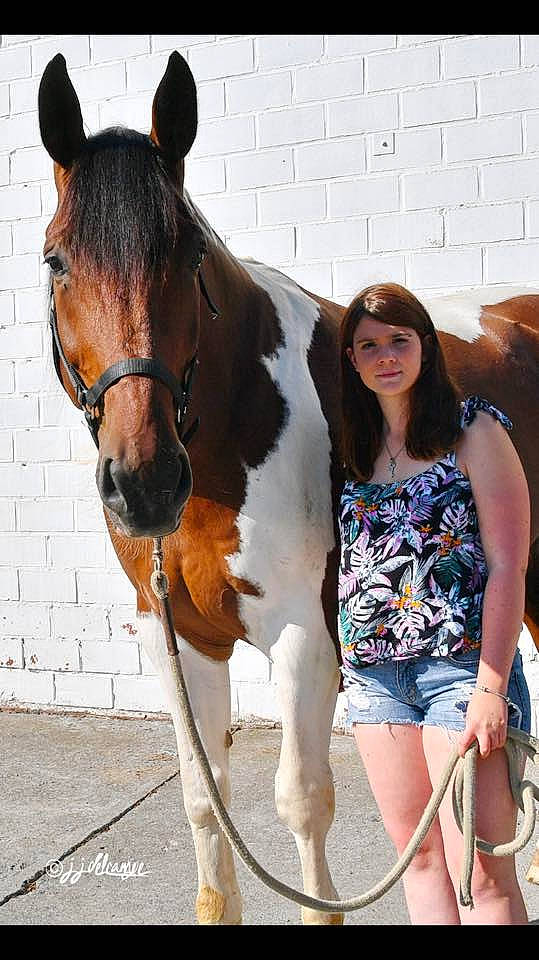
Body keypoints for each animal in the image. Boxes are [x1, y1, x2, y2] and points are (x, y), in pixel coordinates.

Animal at [38, 52, 539, 925]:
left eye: (189, 258)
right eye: (56, 261)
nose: (144, 484)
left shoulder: (305, 639)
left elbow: (301, 801)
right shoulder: (176, 641)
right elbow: (204, 801)